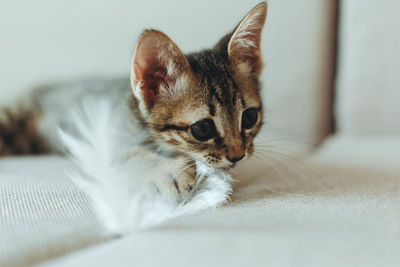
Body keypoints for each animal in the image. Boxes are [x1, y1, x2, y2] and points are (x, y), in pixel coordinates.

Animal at [0, 2, 268, 199]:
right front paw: (164, 171)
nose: (238, 155)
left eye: (249, 117)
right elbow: (126, 152)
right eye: (202, 128)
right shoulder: (94, 137)